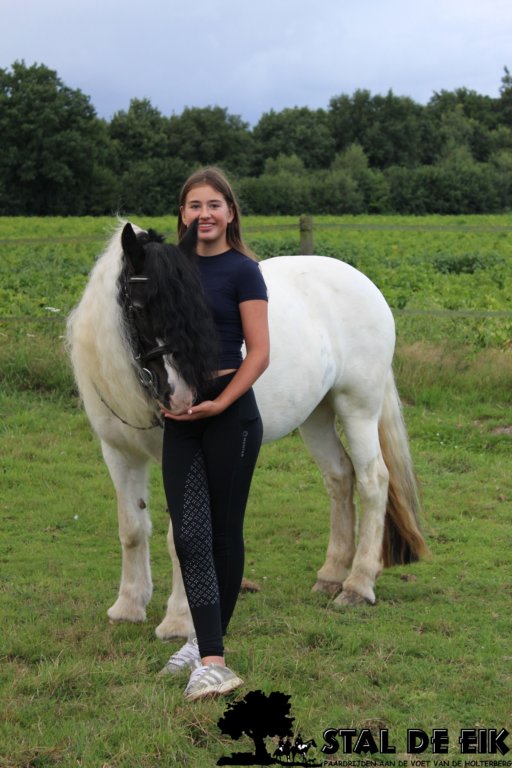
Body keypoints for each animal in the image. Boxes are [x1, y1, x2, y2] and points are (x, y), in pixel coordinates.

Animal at [66, 219, 428, 640]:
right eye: (140, 307)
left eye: (199, 306)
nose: (183, 395)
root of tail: (365, 284)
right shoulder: (119, 453)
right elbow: (132, 528)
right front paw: (127, 606)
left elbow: (183, 536)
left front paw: (179, 621)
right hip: (316, 415)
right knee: (340, 477)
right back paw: (331, 574)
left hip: (358, 407)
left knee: (373, 480)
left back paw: (358, 585)